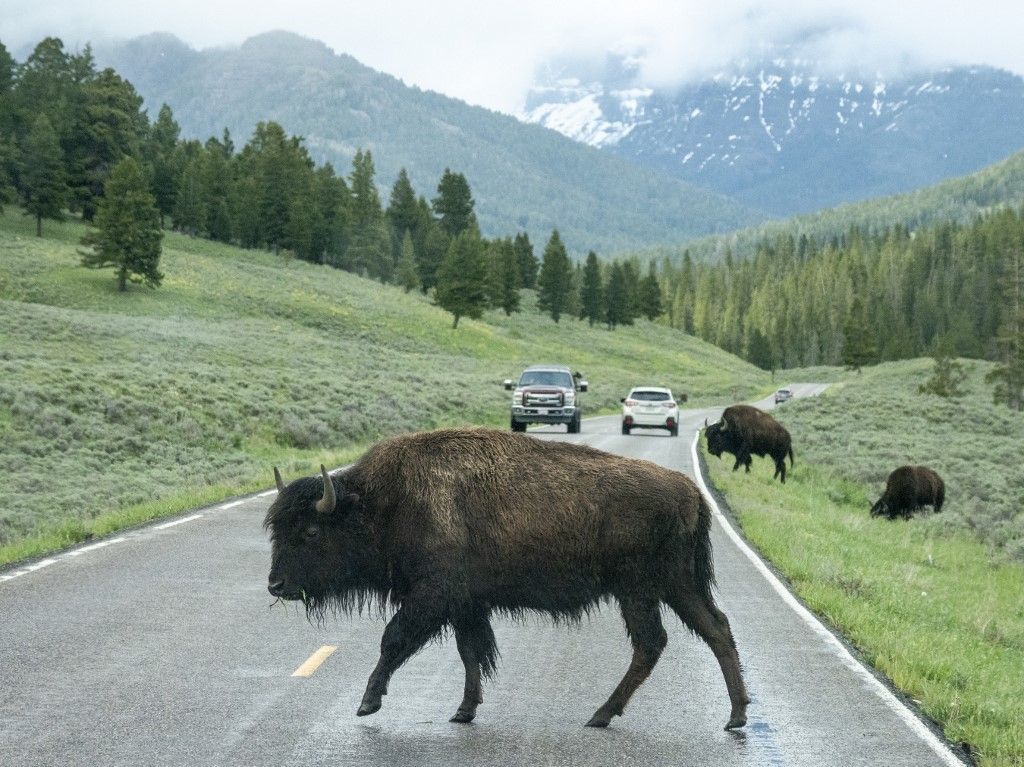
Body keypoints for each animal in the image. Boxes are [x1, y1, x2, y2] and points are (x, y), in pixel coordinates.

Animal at [264, 423, 749, 729]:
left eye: (310, 531)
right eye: (277, 530)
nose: (276, 585)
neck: (386, 503)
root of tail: (690, 491)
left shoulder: (432, 597)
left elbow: (394, 639)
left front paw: (367, 704)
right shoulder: (466, 605)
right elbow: (471, 652)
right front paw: (464, 711)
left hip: (642, 589)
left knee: (658, 642)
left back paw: (602, 715)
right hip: (673, 586)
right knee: (713, 630)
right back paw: (734, 717)